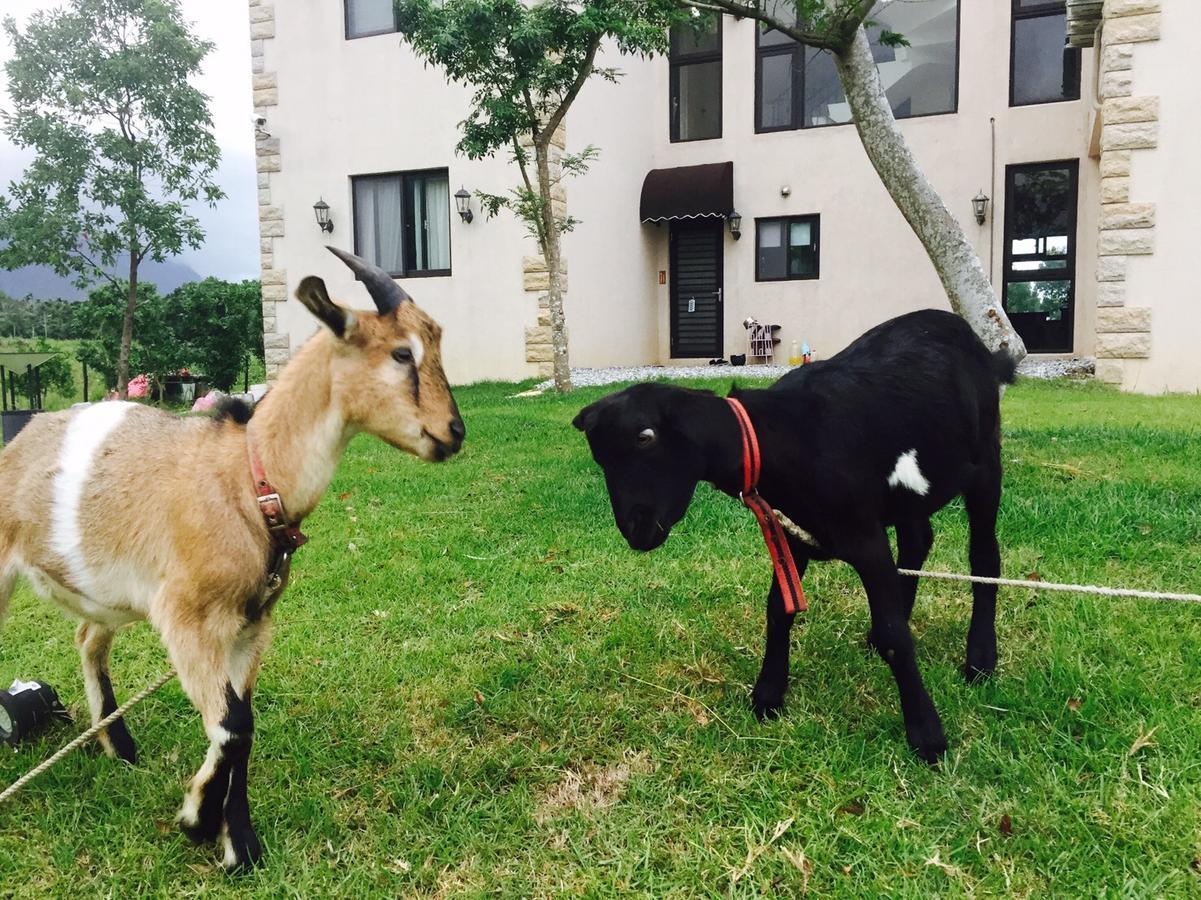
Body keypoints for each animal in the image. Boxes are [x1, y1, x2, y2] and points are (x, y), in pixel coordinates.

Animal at [0, 246, 463, 869]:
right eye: (402, 353)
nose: (454, 432)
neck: (248, 482)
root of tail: (21, 435)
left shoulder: (251, 625)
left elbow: (243, 721)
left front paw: (237, 842)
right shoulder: (186, 619)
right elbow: (232, 725)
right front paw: (199, 821)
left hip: (107, 592)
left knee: (88, 639)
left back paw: (120, 747)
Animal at [571, 310, 1013, 759]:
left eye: (645, 438)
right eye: (600, 458)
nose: (634, 529)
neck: (782, 439)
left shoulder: (864, 535)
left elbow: (895, 635)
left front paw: (927, 735)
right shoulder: (793, 532)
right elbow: (779, 609)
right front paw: (767, 695)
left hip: (986, 466)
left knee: (984, 557)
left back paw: (980, 660)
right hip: (907, 498)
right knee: (918, 541)